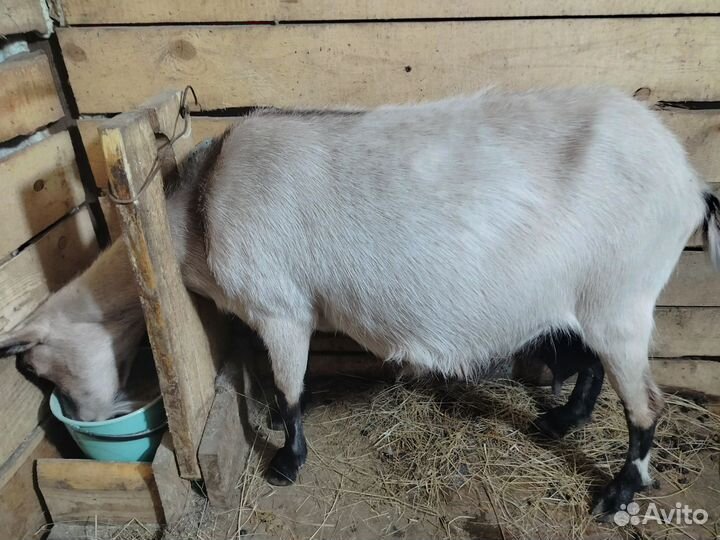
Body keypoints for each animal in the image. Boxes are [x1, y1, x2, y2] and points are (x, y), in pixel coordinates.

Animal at [1, 88, 717, 517]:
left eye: (37, 365)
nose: (90, 417)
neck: (196, 211)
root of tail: (691, 184)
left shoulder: (281, 308)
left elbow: (290, 387)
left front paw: (287, 462)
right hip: (594, 298)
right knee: (594, 365)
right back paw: (563, 422)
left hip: (621, 299)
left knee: (647, 405)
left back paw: (619, 491)